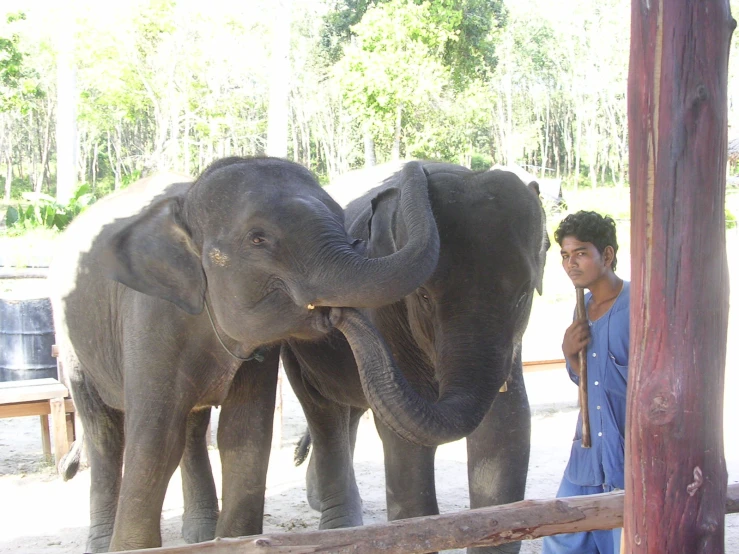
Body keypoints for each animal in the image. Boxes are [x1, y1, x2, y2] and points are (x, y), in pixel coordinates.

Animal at [49, 155, 442, 548]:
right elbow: (154, 442)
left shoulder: (259, 355)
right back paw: (104, 541)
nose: (414, 168)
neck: (186, 205)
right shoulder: (149, 319)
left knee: (191, 428)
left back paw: (199, 535)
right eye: (258, 238)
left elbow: (245, 435)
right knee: (104, 433)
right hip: (69, 338)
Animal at [284, 161, 548, 552]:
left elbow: (507, 429)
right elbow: (408, 451)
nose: (331, 310)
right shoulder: (384, 309)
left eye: (524, 293)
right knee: (323, 411)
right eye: (423, 294)